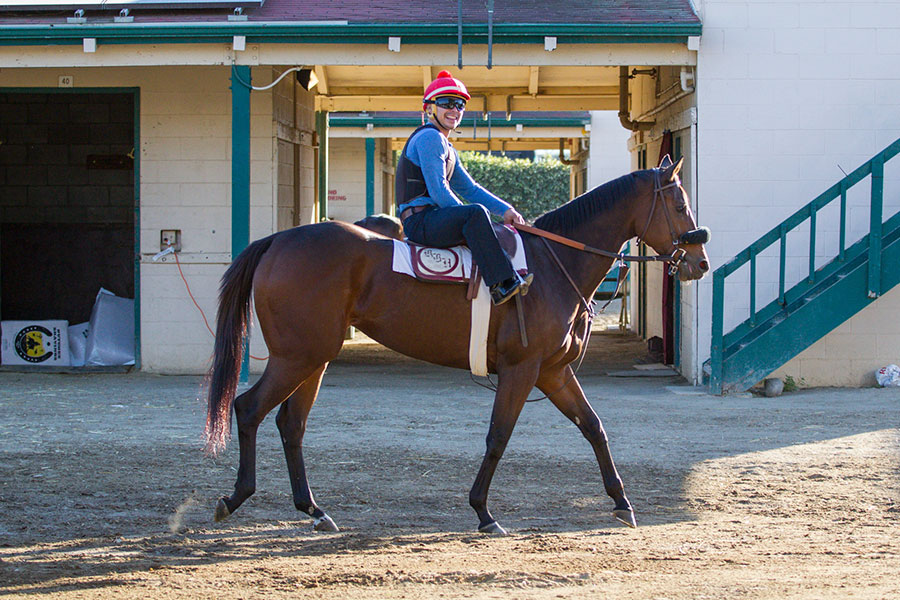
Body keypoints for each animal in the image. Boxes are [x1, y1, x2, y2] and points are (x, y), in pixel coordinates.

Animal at [206, 156, 712, 536]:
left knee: (291, 424)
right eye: (680, 204)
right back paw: (235, 497)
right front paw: (483, 511)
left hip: (314, 359)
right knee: (248, 408)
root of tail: (278, 240)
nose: (701, 261)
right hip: (297, 357)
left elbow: (594, 427)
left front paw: (622, 500)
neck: (551, 265)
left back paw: (313, 509)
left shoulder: (553, 372)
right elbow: (499, 436)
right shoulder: (522, 370)